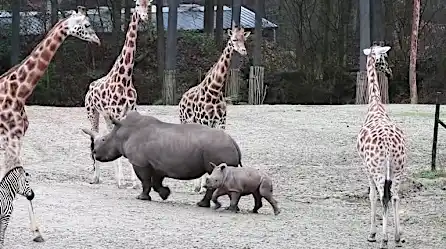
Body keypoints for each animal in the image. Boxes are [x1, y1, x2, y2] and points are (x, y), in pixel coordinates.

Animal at [0, 5, 100, 243]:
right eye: (87, 24)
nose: (98, 40)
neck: (19, 93)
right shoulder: (12, 139)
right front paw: (36, 231)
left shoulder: (14, 140)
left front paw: (36, 232)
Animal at [83, 0, 152, 189]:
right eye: (137, 4)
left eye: (148, 4)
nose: (144, 17)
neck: (126, 77)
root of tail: (89, 88)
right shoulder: (116, 112)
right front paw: (123, 181)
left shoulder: (129, 111)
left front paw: (134, 182)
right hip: (92, 112)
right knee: (94, 137)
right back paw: (96, 177)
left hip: (106, 116)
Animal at [178, 21, 251, 194]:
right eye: (233, 39)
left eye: (243, 39)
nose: (243, 51)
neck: (215, 90)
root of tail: (182, 98)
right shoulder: (205, 122)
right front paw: (202, 185)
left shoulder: (221, 122)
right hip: (185, 121)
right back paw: (195, 185)